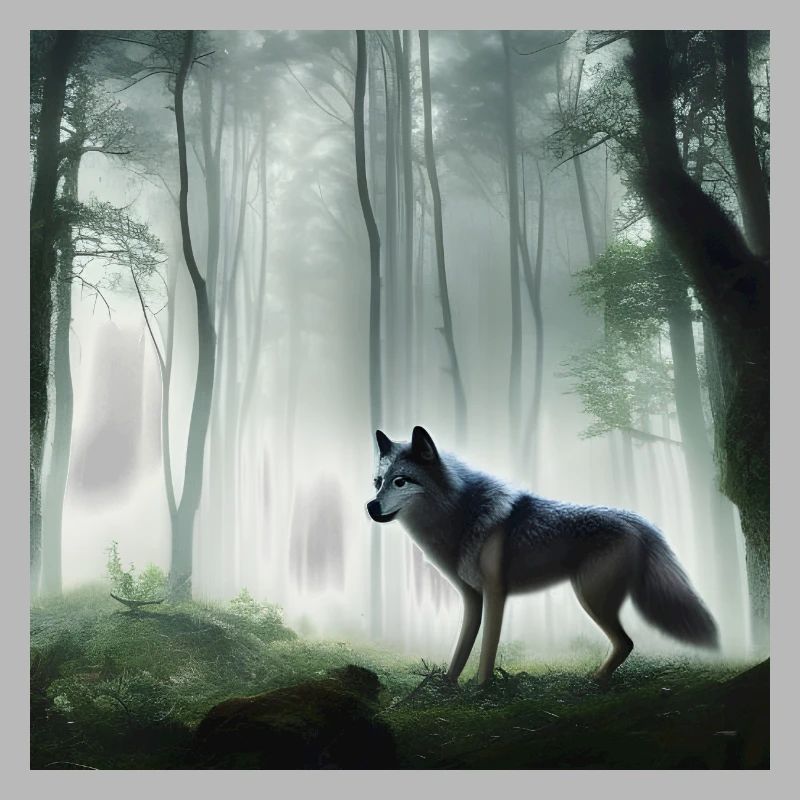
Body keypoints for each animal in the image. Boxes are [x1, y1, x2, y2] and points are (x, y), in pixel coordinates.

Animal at [366, 426, 718, 685]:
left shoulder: (496, 594)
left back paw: (594, 681)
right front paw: (448, 686)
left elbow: (487, 647)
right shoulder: (472, 598)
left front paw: (481, 688)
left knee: (626, 642)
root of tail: (639, 521)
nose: (370, 506)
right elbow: (462, 647)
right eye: (378, 482)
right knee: (625, 643)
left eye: (401, 481)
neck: (460, 515)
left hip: (589, 596)